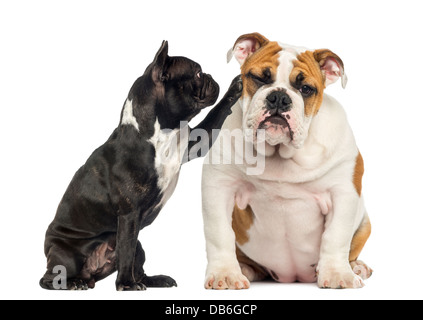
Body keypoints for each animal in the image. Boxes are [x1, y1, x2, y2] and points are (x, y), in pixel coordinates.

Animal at [41, 41, 243, 292]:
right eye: (197, 73)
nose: (210, 76)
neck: (157, 135)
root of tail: (91, 274)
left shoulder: (194, 143)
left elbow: (215, 116)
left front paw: (236, 86)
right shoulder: (129, 215)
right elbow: (126, 252)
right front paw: (126, 285)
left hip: (140, 247)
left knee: (137, 264)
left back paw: (155, 279)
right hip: (67, 256)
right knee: (51, 277)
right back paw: (75, 283)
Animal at [202, 33, 372, 290]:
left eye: (306, 89)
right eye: (258, 78)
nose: (279, 97)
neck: (279, 153)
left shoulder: (342, 191)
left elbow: (335, 236)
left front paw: (337, 274)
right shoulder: (218, 186)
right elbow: (219, 233)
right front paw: (226, 274)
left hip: (365, 224)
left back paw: (356, 267)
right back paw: (244, 268)